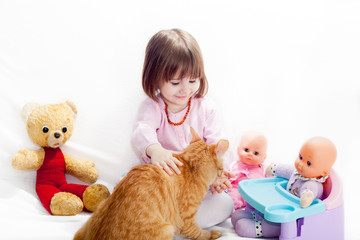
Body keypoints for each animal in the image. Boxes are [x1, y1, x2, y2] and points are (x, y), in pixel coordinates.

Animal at [74, 127, 229, 240]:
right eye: (222, 168)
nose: (223, 174)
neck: (190, 166)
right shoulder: (186, 219)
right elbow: (199, 233)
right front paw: (213, 234)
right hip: (167, 229)